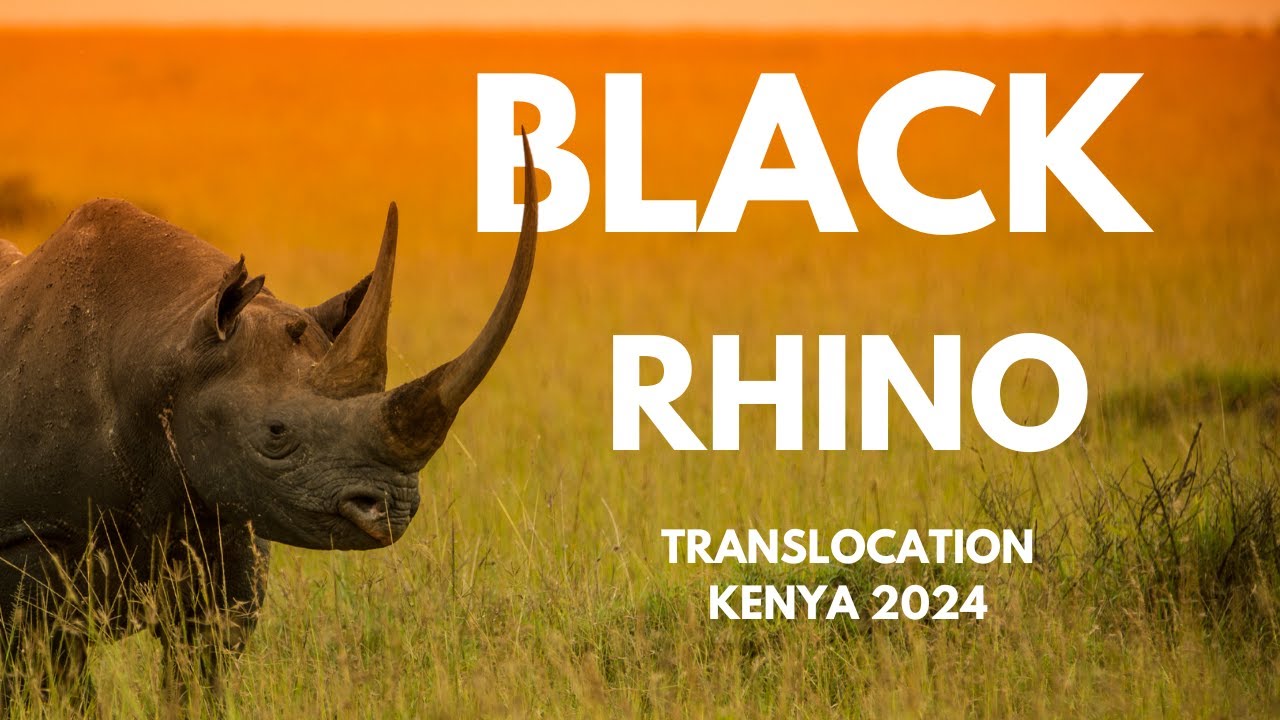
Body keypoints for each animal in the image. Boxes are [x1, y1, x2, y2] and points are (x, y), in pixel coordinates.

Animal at [0, 136, 538, 710]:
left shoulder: (229, 521)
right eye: (275, 434)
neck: (171, 344)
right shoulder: (30, 538)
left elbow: (200, 668)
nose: (393, 508)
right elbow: (47, 674)